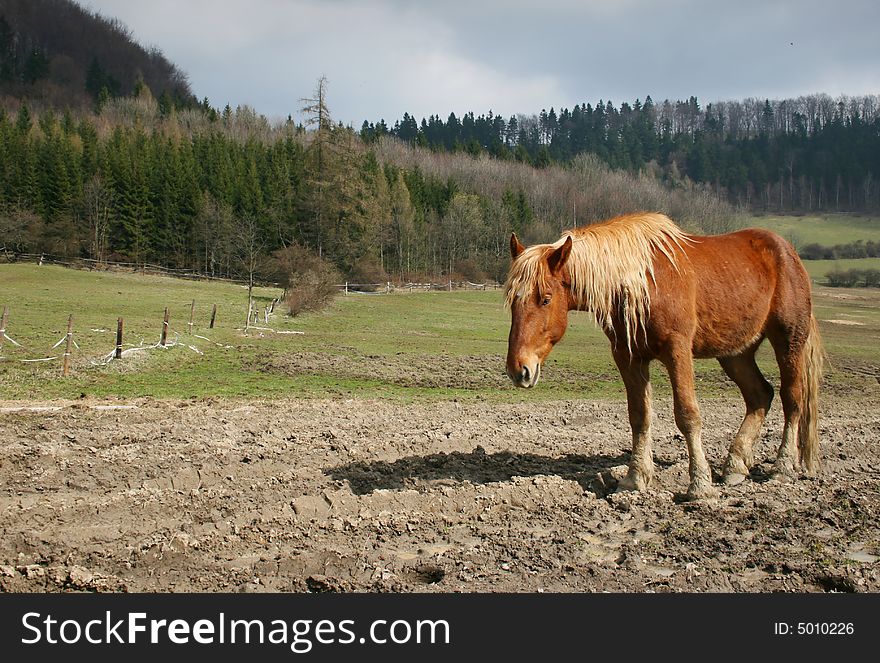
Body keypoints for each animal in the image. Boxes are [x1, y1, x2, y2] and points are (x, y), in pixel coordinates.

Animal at [506, 211, 820, 498]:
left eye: (546, 298)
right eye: (512, 300)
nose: (519, 369)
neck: (643, 282)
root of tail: (788, 251)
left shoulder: (677, 351)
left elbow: (687, 415)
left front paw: (700, 485)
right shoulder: (628, 357)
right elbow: (639, 416)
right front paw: (635, 479)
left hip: (788, 341)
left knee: (792, 398)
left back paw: (782, 467)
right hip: (736, 353)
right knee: (760, 395)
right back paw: (735, 466)